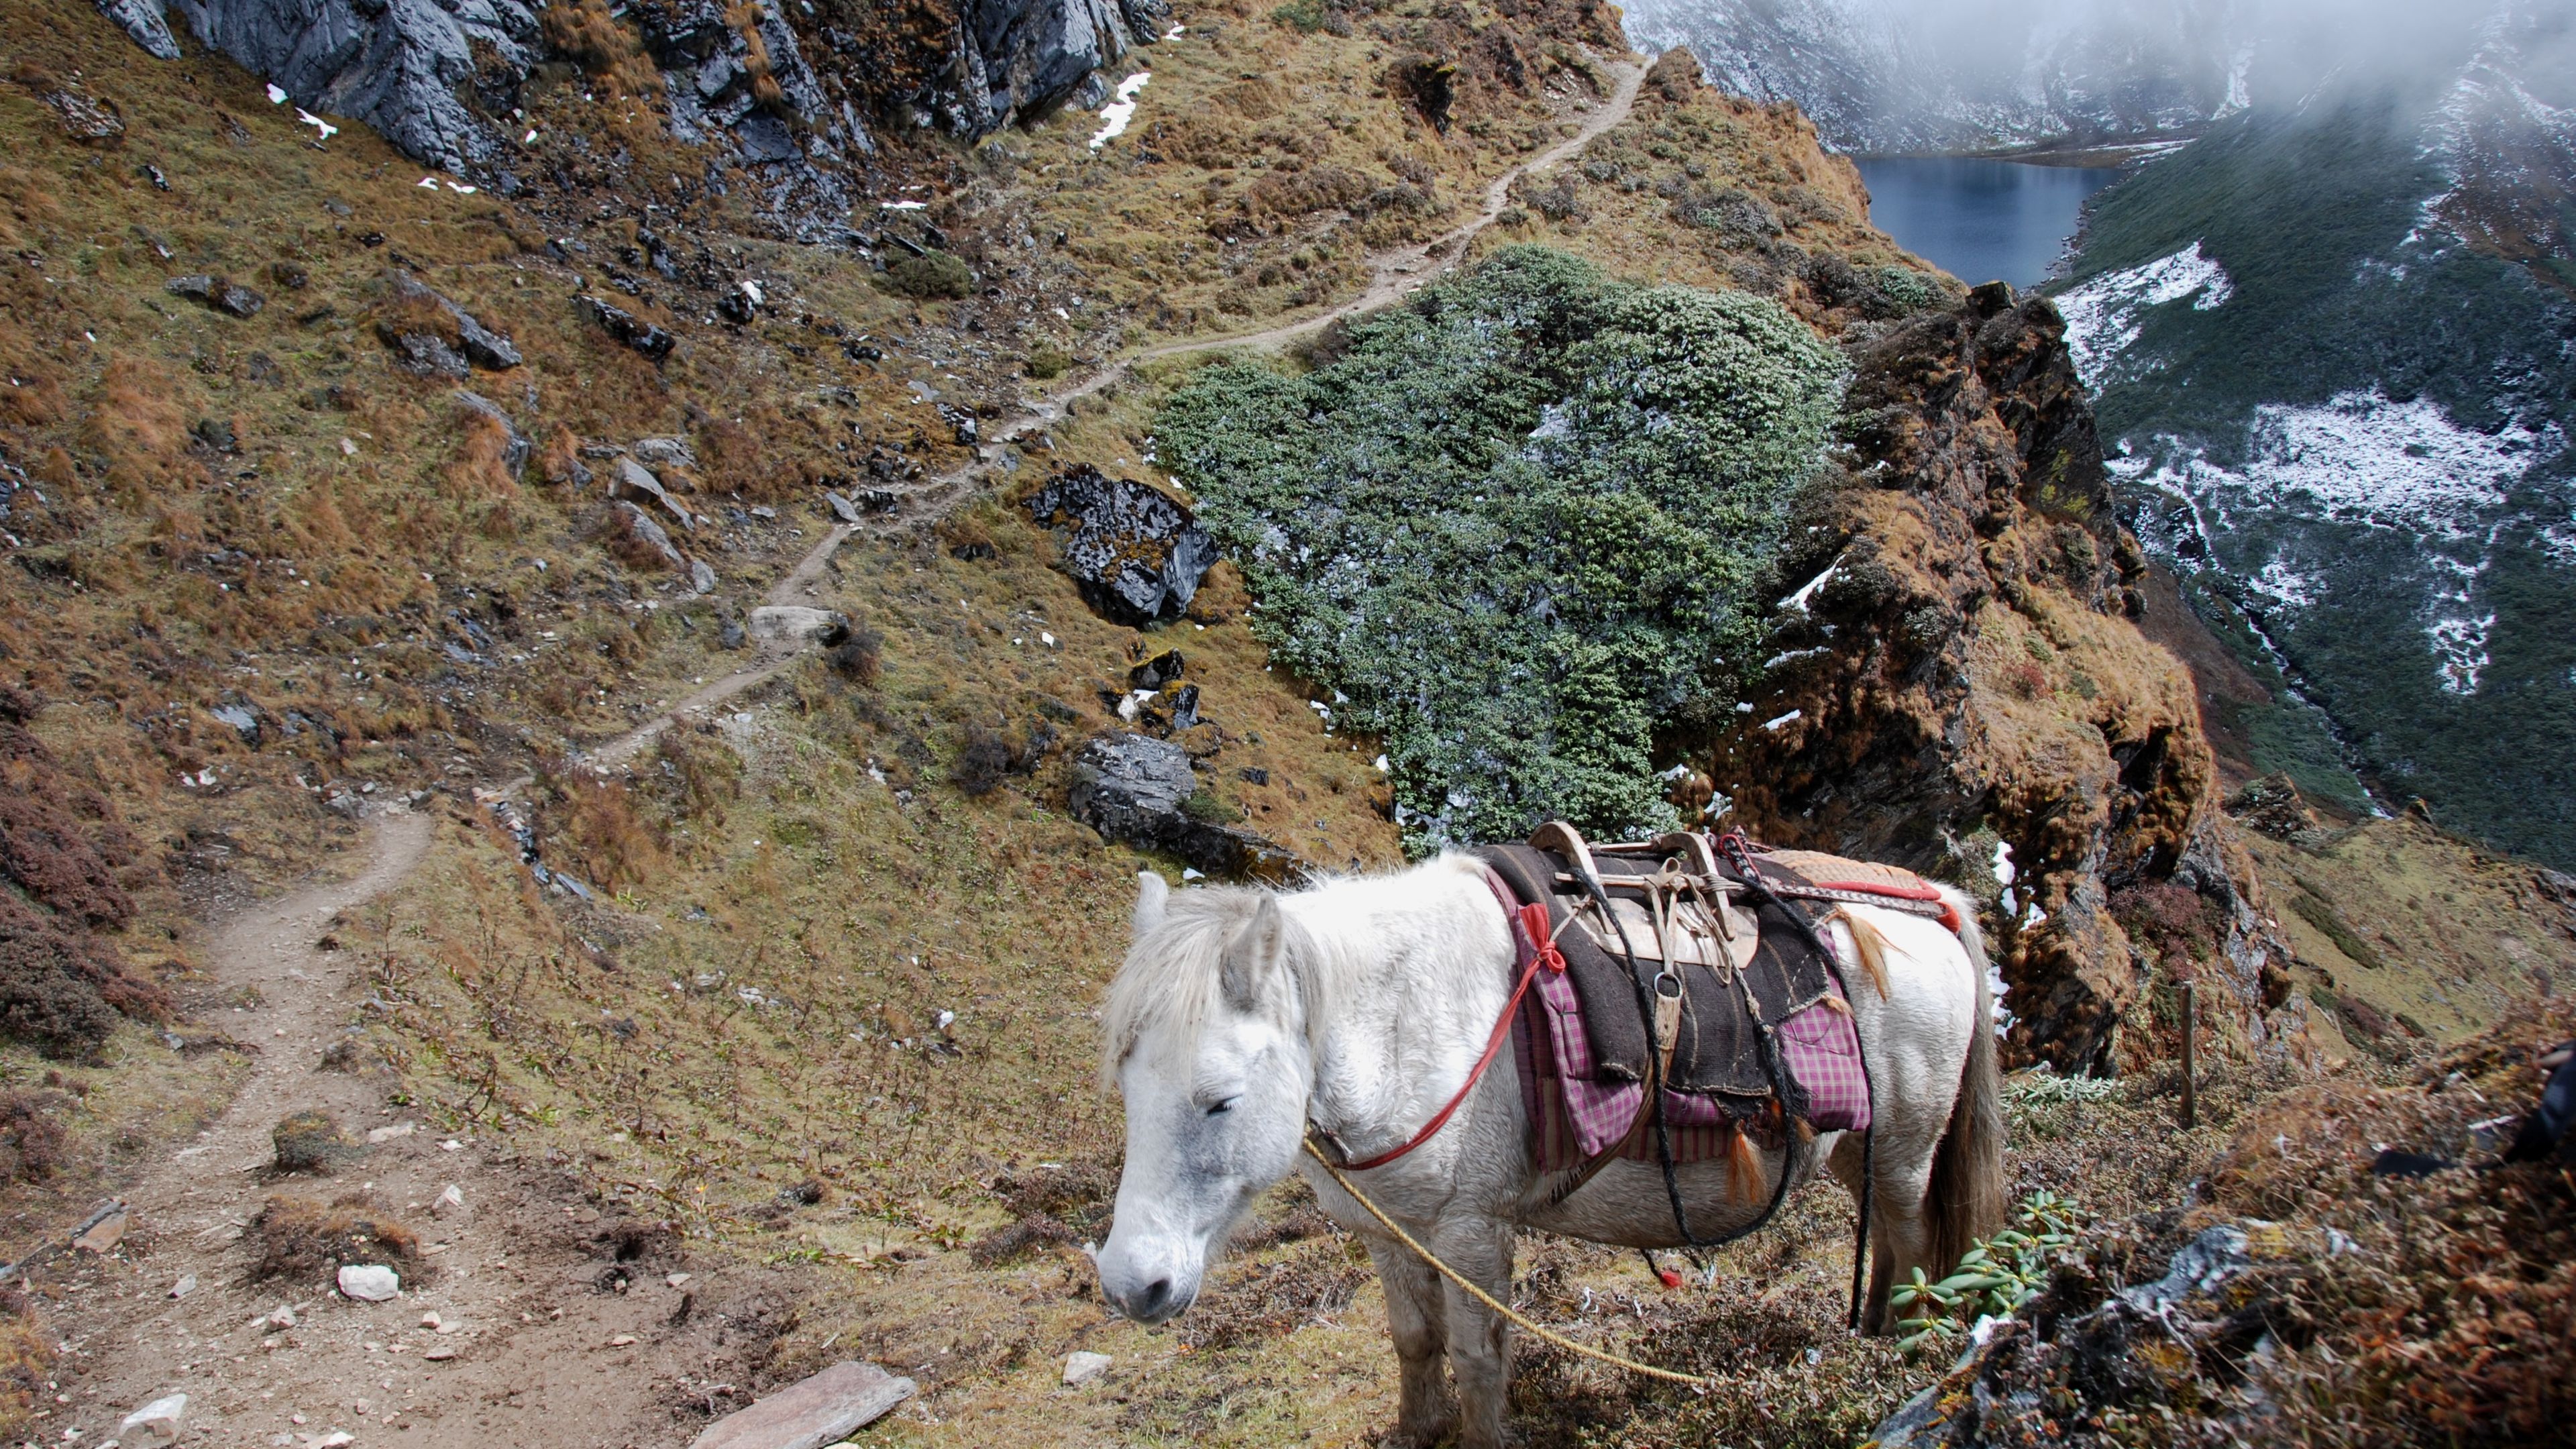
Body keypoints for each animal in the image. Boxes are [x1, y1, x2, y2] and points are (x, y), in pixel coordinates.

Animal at [1097, 851, 1998, 1433]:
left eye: (1221, 1102)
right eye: (1128, 1089)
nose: (1133, 1287)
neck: (1404, 1022)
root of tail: (1934, 907)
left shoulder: (1471, 1231)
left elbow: (1477, 1356)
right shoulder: (1390, 1231)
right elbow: (1415, 1342)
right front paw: (1419, 1429)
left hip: (1906, 1154)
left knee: (1914, 1243)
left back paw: (1902, 1354)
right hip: (1856, 1152)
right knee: (1891, 1244)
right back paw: (1868, 1337)